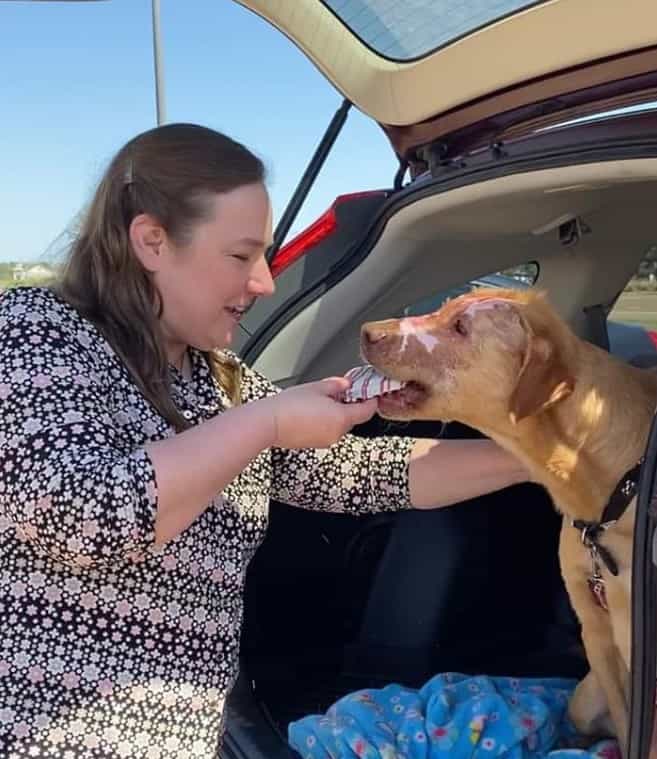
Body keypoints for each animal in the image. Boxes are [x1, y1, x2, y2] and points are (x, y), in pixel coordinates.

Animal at [358, 290, 656, 756]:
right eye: (443, 308)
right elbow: (629, 729)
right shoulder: (597, 632)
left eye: (461, 327)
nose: (367, 331)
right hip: (585, 698)